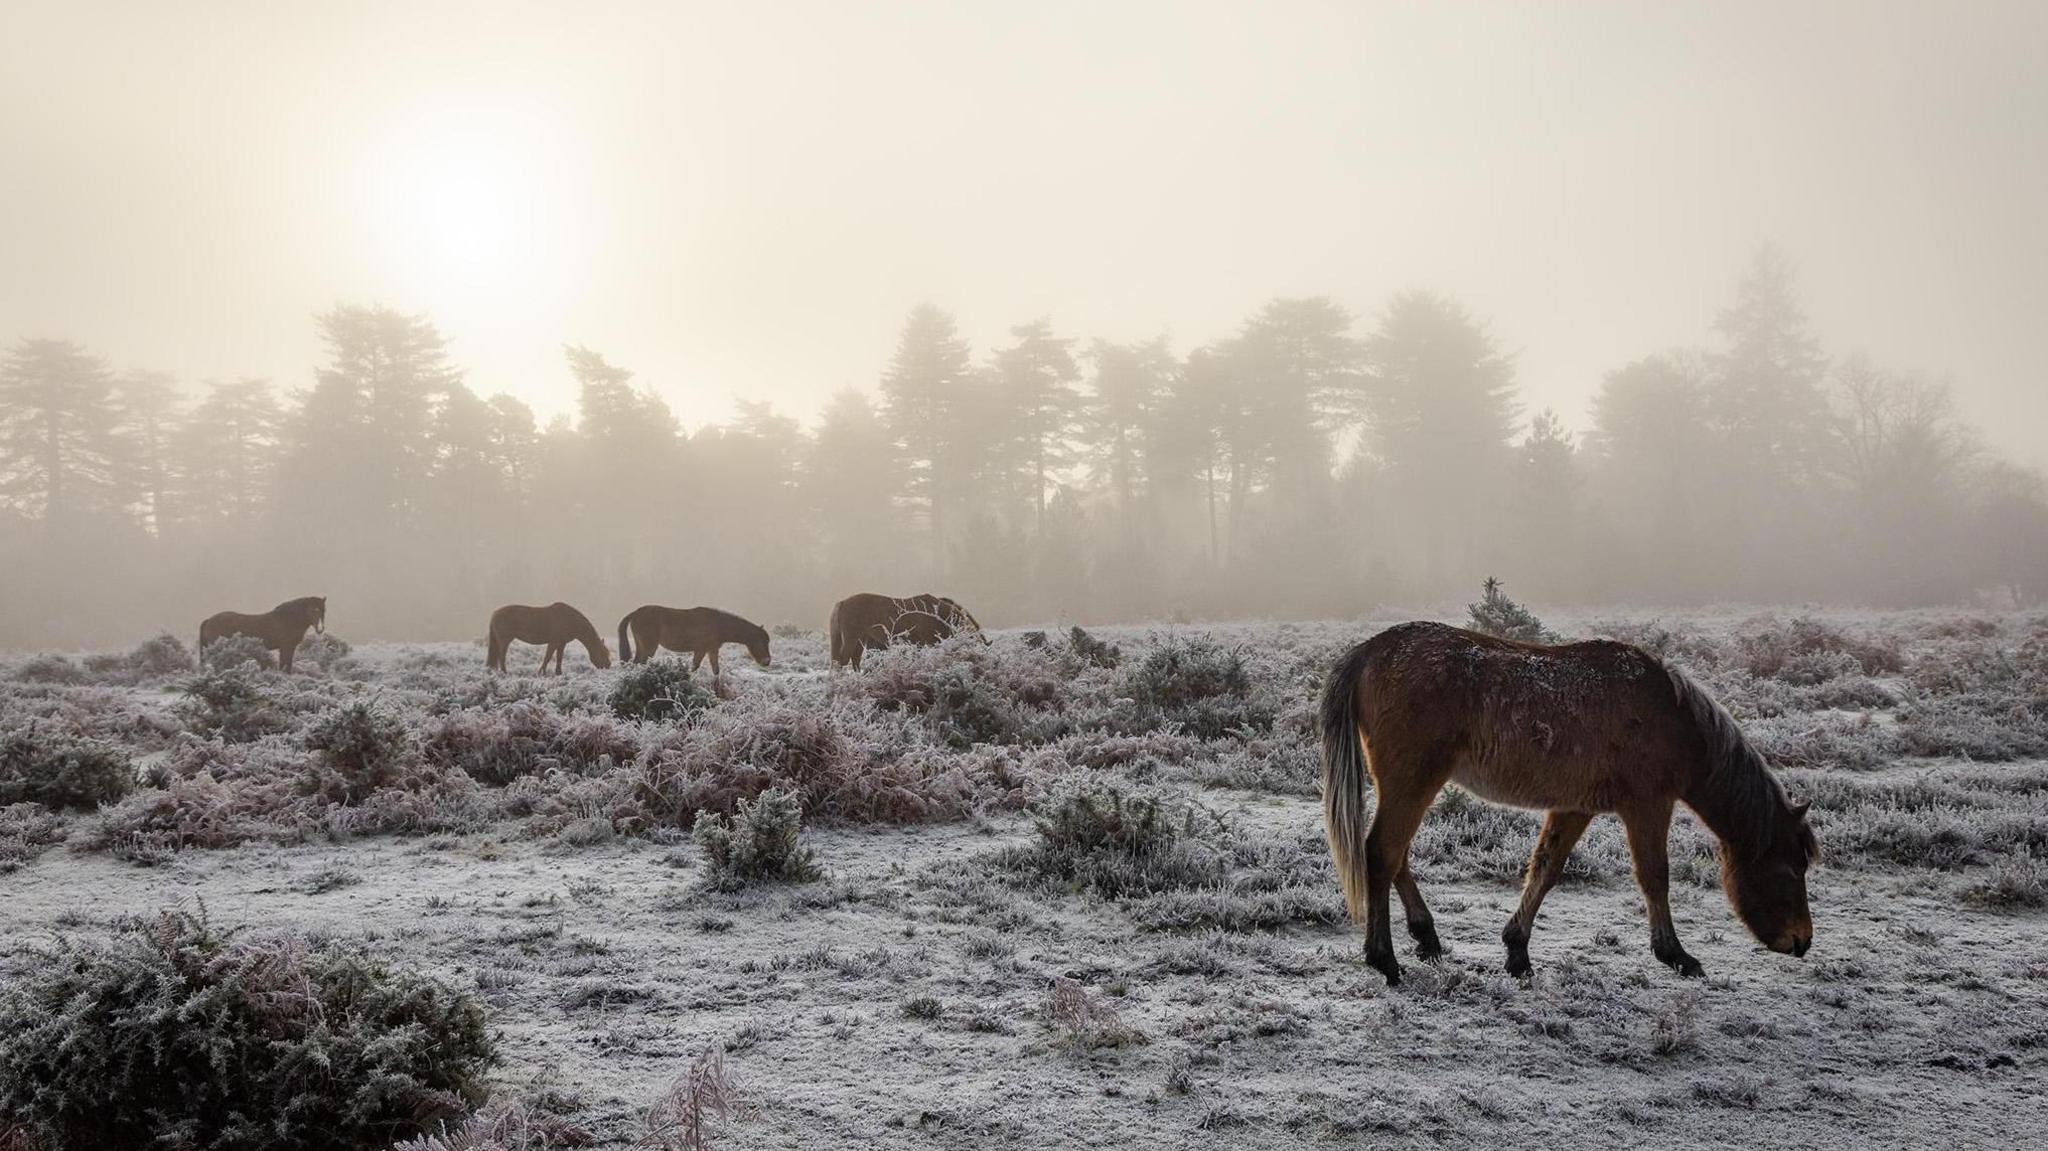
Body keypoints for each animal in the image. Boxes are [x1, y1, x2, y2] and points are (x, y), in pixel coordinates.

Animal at [198, 596, 327, 673]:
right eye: (313, 610)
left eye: (324, 610)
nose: (320, 629)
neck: (287, 619)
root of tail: (209, 620)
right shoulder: (285, 647)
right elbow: (284, 666)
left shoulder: (290, 648)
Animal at [617, 605, 771, 690]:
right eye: (762, 641)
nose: (767, 661)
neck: (718, 624)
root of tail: (635, 613)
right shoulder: (702, 650)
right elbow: (695, 668)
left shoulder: (711, 650)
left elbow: (715, 670)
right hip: (649, 647)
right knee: (638, 664)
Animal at [827, 592, 985, 669]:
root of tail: (841, 603)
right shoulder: (926, 642)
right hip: (851, 637)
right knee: (841, 661)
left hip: (857, 639)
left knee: (851, 660)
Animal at [1320, 621, 1817, 986]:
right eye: (1790, 870)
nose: (1802, 942)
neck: (1669, 717)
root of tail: (1372, 649)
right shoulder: (1648, 805)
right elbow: (1655, 877)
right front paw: (1675, 954)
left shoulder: (1575, 808)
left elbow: (1545, 869)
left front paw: (1517, 951)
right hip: (1413, 781)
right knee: (1381, 853)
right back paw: (1384, 959)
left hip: (1409, 784)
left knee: (1395, 854)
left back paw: (1427, 938)